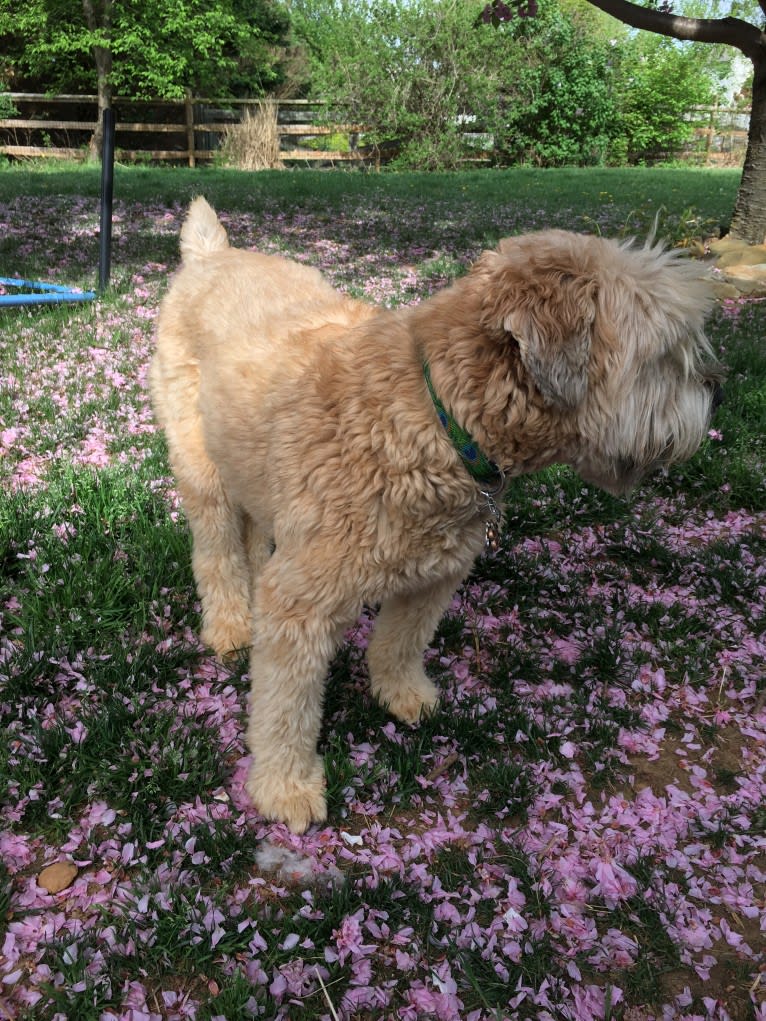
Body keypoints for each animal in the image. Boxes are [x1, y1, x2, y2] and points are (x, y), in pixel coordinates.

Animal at [150, 197, 727, 829]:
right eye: (664, 356)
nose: (717, 392)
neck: (436, 414)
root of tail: (213, 256)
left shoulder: (435, 573)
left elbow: (400, 643)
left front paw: (401, 694)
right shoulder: (302, 601)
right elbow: (286, 707)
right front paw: (285, 786)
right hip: (201, 465)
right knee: (216, 549)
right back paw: (231, 623)